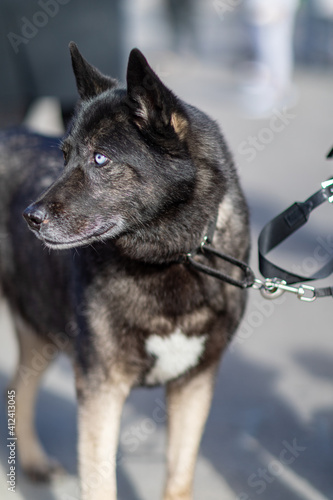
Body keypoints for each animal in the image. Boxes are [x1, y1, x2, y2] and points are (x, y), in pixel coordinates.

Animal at [0, 44, 249, 500]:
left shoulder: (193, 385)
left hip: (43, 330)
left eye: (101, 159)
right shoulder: (101, 390)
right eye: (64, 156)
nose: (30, 217)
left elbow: (179, 480)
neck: (172, 257)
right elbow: (100, 483)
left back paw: (34, 463)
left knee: (17, 388)